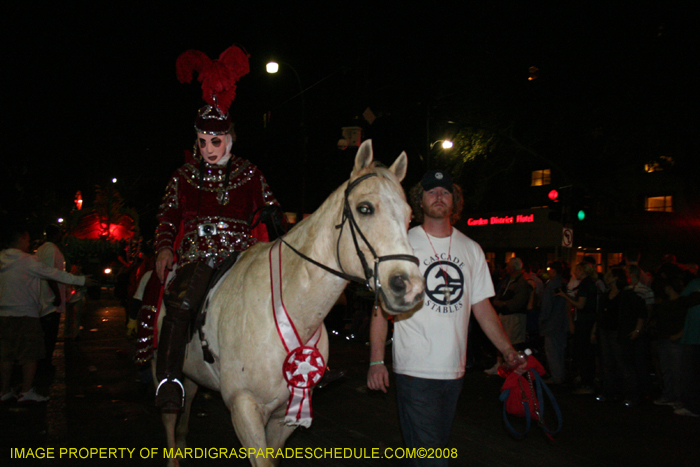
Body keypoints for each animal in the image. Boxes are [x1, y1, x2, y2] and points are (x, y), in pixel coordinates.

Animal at [156, 141, 424, 466]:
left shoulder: (285, 414)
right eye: (365, 208)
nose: (409, 287)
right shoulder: (244, 407)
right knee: (170, 414)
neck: (289, 308)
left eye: (409, 215)